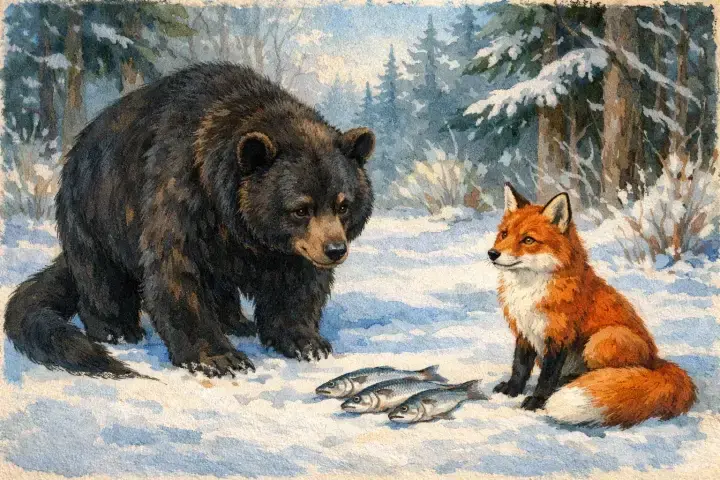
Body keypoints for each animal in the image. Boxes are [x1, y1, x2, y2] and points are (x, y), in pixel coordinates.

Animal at [4, 63, 375, 378]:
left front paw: (306, 341)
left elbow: (298, 284)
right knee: (101, 275)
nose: (334, 250)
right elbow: (176, 272)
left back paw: (236, 322)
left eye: (343, 204)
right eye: (300, 208)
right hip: (95, 210)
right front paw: (219, 358)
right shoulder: (180, 193)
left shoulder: (288, 248)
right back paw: (117, 329)